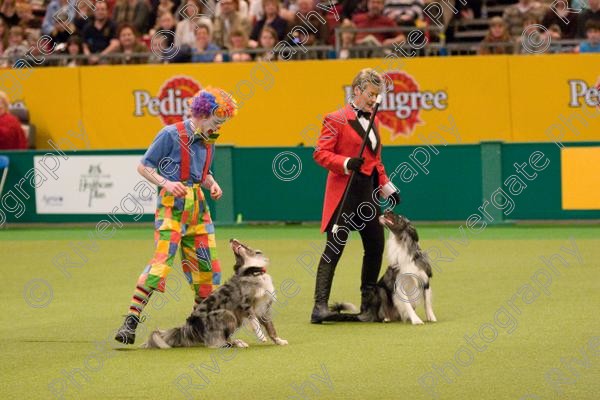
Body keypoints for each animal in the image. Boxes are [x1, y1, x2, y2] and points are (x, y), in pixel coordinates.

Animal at [143, 239, 288, 348]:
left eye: (245, 245)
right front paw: (261, 336)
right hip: (228, 314)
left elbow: (271, 327)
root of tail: (188, 327)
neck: (253, 272)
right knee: (217, 341)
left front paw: (279, 340)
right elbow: (255, 323)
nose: (231, 239)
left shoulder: (264, 308)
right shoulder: (246, 305)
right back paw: (233, 344)